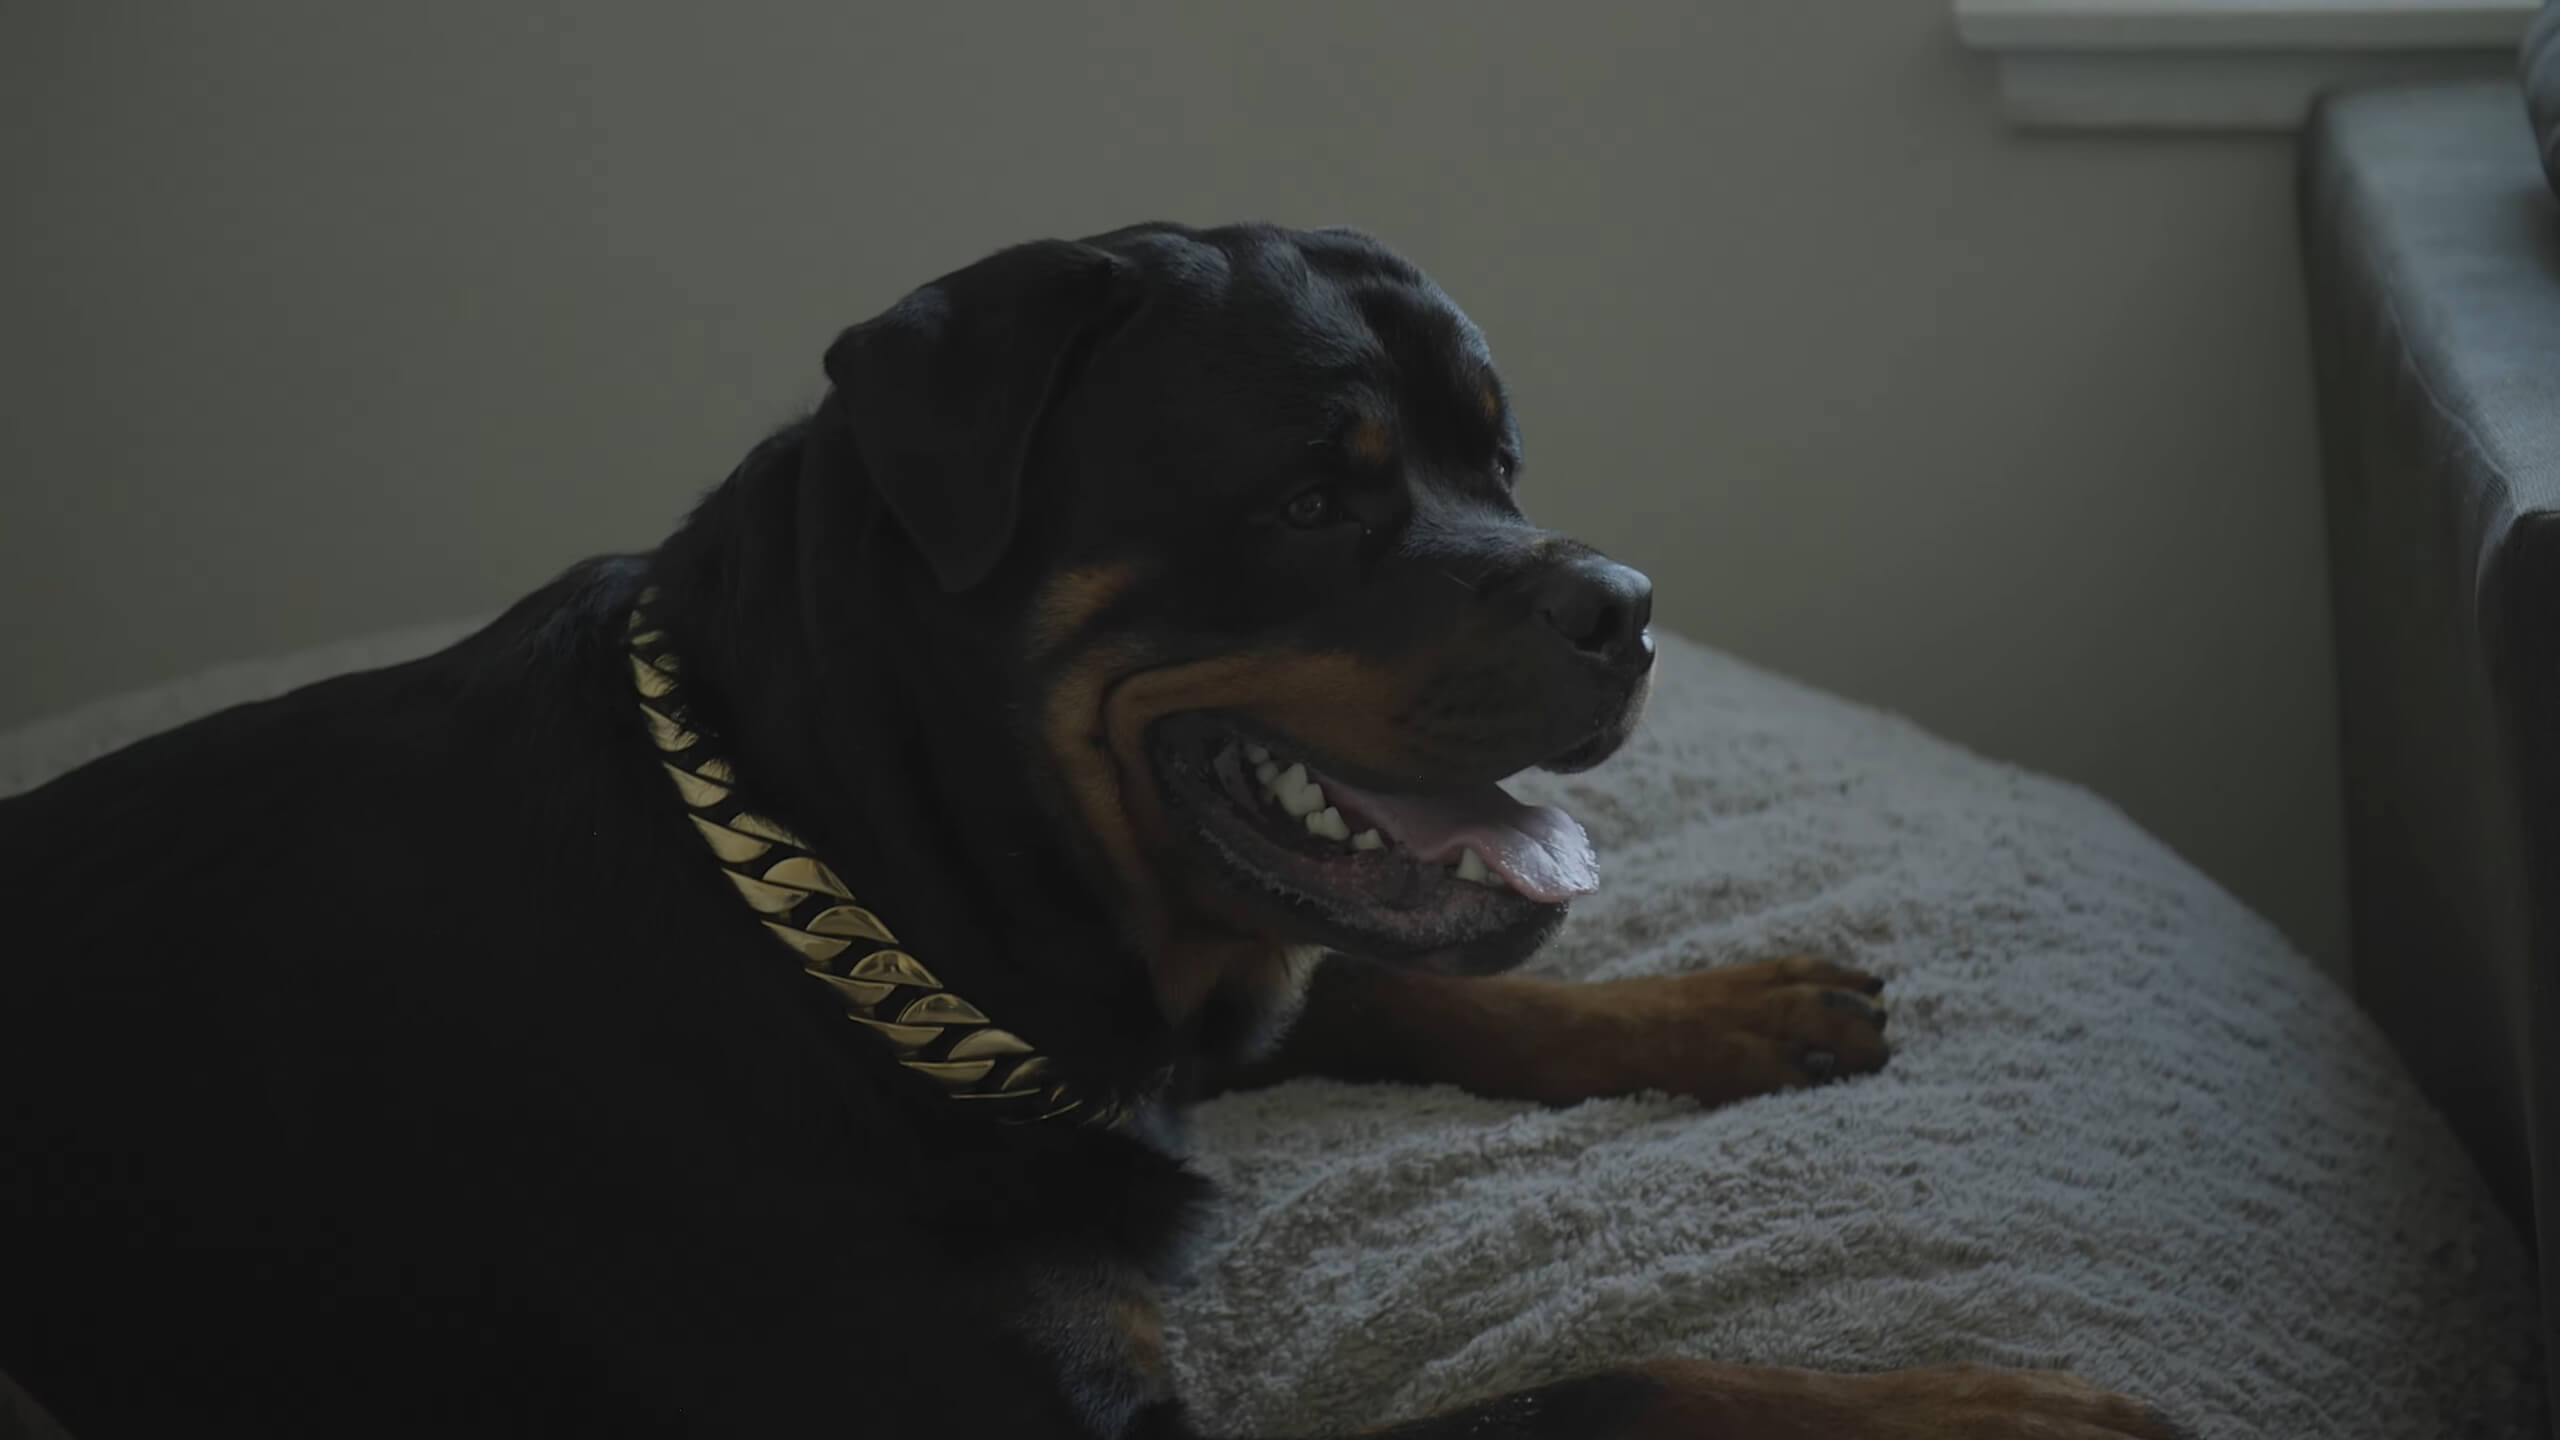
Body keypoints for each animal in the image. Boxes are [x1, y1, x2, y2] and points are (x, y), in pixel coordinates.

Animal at [0, 224, 2181, 1434]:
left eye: (1498, 457)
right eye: (1314, 494)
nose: (1625, 604)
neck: (857, 874)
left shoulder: (1185, 1006)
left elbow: (1393, 988)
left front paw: (1730, 1008)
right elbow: (1587, 1393)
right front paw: (1983, 1408)